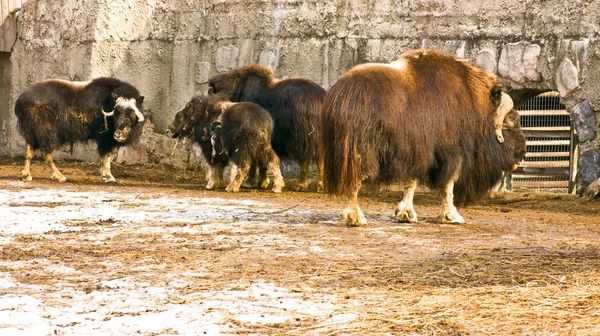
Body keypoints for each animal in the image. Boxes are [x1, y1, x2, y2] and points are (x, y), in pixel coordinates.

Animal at [14, 77, 145, 182]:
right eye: (116, 112)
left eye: (131, 112)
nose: (118, 134)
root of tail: (20, 100)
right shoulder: (105, 138)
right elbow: (107, 156)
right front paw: (108, 177)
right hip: (47, 134)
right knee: (47, 155)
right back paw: (61, 177)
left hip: (32, 134)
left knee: (29, 152)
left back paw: (26, 175)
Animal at [318, 48, 524, 226]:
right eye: (512, 118)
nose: (522, 154)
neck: (476, 104)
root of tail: (339, 96)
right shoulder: (451, 153)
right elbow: (448, 185)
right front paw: (452, 216)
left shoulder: (416, 152)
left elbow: (411, 183)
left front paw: (405, 214)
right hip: (358, 152)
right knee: (354, 181)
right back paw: (356, 217)